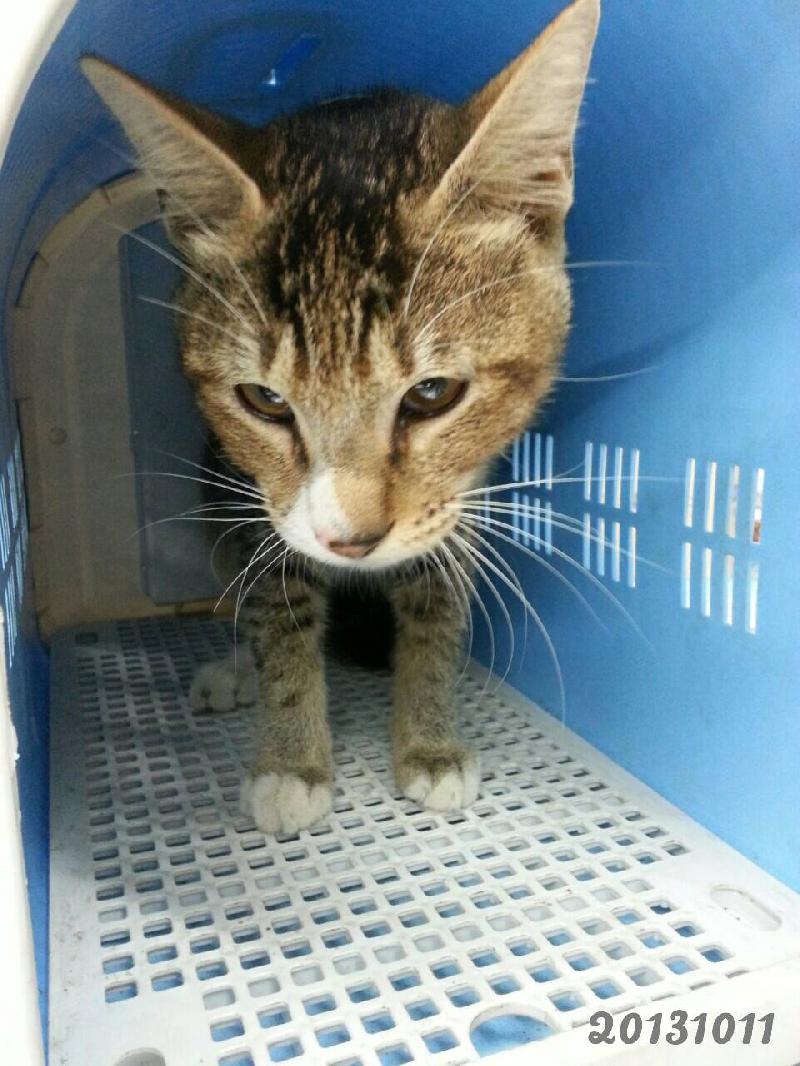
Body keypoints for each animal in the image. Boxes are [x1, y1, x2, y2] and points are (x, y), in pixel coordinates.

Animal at [82, 0, 599, 834]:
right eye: (265, 400)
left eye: (432, 394)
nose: (350, 541)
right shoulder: (256, 503)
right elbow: (276, 608)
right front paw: (291, 760)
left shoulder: (462, 495)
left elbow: (436, 602)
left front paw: (429, 737)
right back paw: (234, 671)